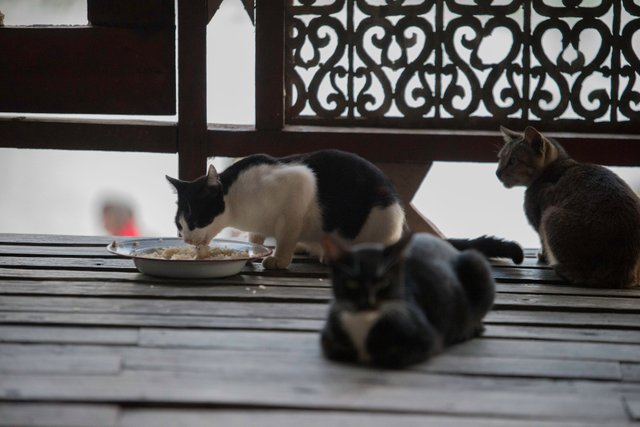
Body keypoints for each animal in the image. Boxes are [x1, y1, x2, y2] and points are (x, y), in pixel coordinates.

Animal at [166, 150, 404, 270]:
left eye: (194, 219)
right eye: (179, 224)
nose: (186, 239)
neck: (238, 206)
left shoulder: (300, 184)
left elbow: (287, 235)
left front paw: (279, 260)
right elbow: (256, 236)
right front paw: (255, 249)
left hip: (385, 217)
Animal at [320, 232, 520, 370]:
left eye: (384, 283)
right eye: (351, 283)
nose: (367, 302)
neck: (363, 323)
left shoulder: (428, 338)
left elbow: (393, 357)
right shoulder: (328, 334)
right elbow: (334, 348)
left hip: (476, 264)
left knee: (477, 323)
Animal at [498, 125, 640, 290]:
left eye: (512, 161)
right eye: (500, 158)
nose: (497, 173)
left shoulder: (540, 220)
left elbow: (542, 241)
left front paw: (543, 256)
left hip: (549, 216)